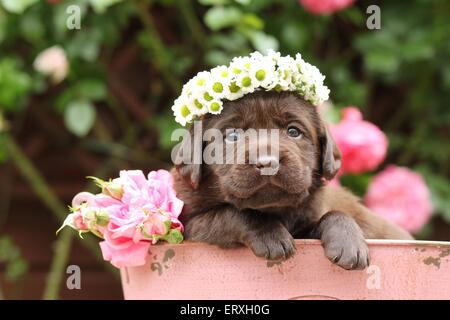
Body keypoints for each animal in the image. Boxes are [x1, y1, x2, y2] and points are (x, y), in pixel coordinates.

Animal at [171, 90, 412, 270]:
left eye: (293, 131)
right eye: (232, 136)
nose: (267, 162)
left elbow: (332, 214)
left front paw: (349, 243)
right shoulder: (191, 225)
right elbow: (233, 213)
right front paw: (272, 237)